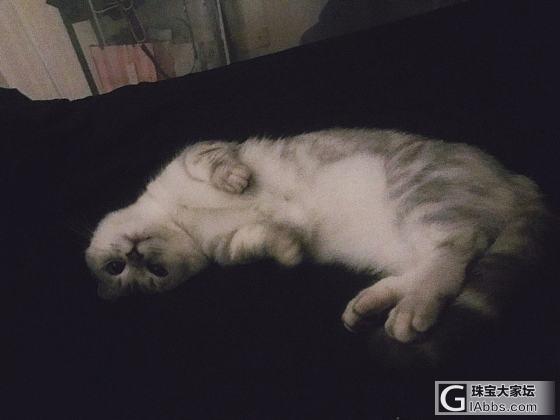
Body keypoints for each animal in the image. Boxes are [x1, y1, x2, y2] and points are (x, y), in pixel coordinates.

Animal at [86, 128, 546, 343]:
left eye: (118, 265)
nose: (137, 257)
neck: (181, 221)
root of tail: (517, 179)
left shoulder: (196, 154)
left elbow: (214, 164)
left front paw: (235, 181)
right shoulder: (232, 246)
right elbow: (260, 240)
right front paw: (289, 248)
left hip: (421, 203)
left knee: (452, 256)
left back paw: (407, 312)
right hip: (404, 239)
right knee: (433, 268)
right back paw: (371, 307)